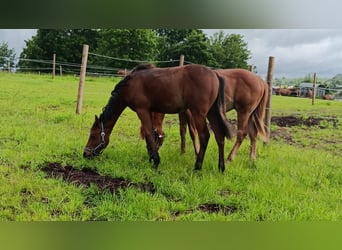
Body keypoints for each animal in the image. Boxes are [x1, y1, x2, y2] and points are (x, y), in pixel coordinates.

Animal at [84, 63, 231, 172]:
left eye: (93, 135)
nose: (85, 154)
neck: (129, 85)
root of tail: (215, 75)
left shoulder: (142, 110)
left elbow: (149, 133)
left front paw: (155, 161)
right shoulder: (151, 111)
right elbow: (152, 134)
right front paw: (151, 157)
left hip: (198, 113)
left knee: (205, 136)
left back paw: (197, 166)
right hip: (211, 113)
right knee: (219, 136)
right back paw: (221, 167)